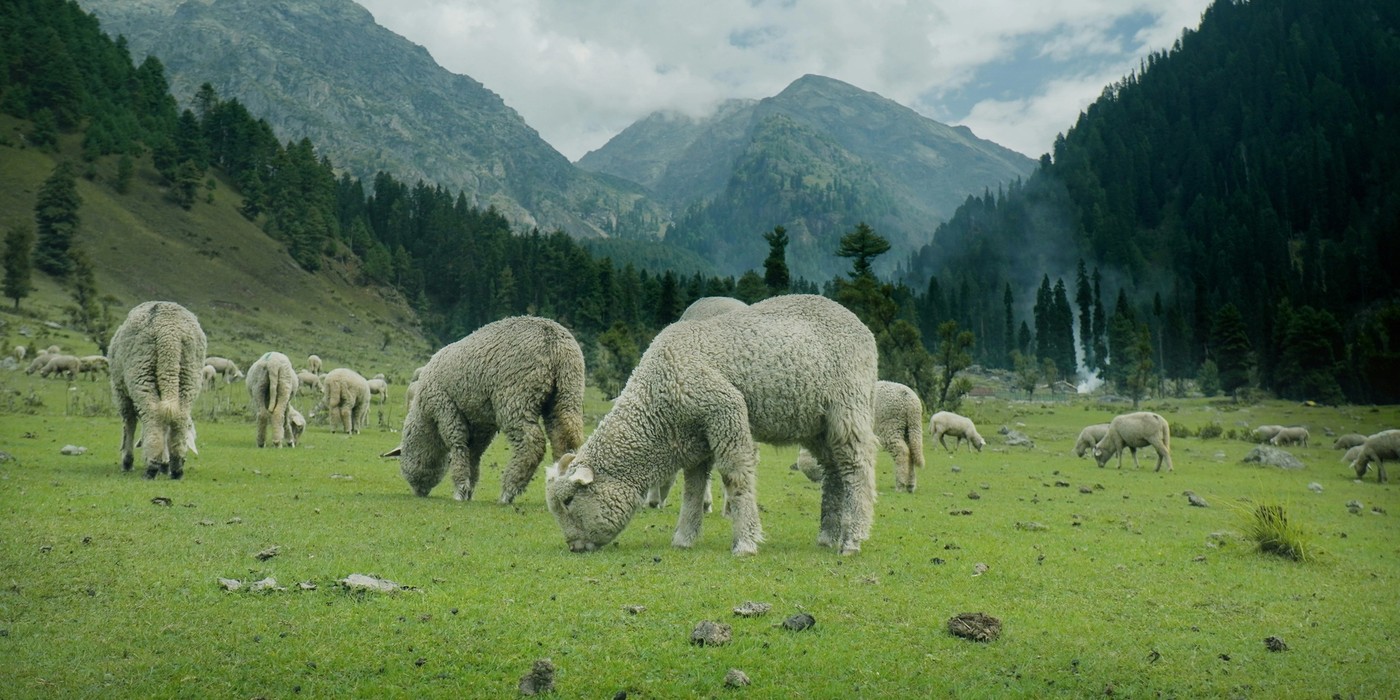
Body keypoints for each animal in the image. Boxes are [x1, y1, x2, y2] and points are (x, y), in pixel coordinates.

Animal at [108, 301, 206, 479]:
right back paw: (176, 467)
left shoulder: (121, 393)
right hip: (190, 373)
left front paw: (127, 462)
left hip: (141, 369)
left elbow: (129, 424)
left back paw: (152, 466)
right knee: (179, 416)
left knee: (152, 414)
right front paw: (165, 464)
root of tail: (170, 333)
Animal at [386, 316, 586, 504]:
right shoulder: (482, 422)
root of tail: (554, 341)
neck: (425, 416)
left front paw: (460, 489)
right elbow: (473, 453)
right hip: (567, 391)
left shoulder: (445, 407)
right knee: (566, 436)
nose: (419, 491)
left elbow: (458, 445)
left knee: (532, 443)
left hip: (515, 397)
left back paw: (508, 492)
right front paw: (469, 489)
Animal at [545, 294, 880, 556]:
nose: (574, 546)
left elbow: (735, 477)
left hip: (848, 406)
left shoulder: (725, 409)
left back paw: (852, 540)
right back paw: (828, 535)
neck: (657, 402)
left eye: (570, 500)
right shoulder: (696, 437)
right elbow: (693, 488)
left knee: (857, 468)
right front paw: (683, 538)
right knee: (834, 471)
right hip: (815, 424)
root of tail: (860, 325)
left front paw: (745, 542)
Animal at [791, 380, 925, 493]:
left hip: (890, 425)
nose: (820, 481)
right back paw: (910, 486)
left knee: (902, 451)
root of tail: (910, 400)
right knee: (912, 451)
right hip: (909, 427)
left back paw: (900, 485)